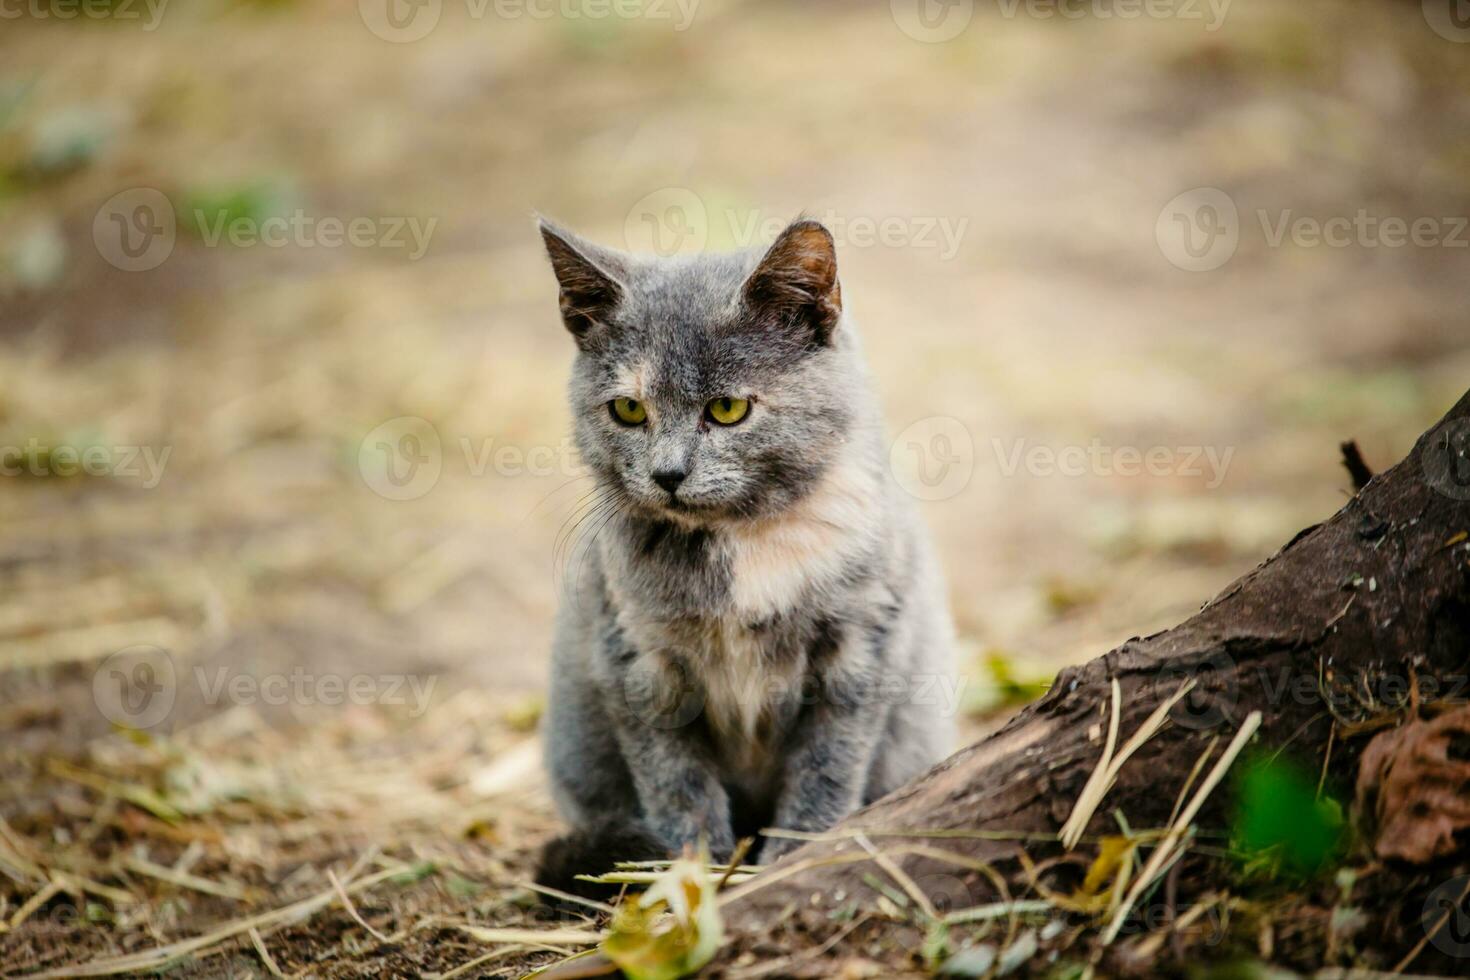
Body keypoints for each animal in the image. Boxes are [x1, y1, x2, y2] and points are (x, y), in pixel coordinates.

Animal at [535, 215, 958, 887]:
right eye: (628, 409)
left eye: (727, 408)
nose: (667, 473)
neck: (742, 541)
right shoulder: (635, 657)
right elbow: (677, 785)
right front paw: (695, 878)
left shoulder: (862, 647)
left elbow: (827, 771)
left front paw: (793, 859)